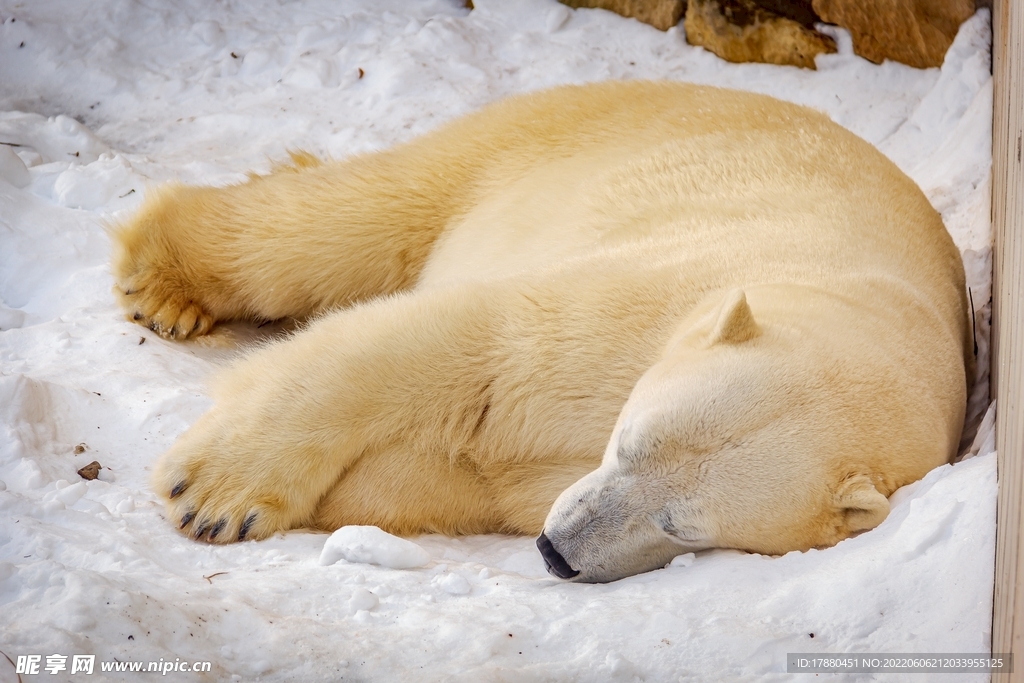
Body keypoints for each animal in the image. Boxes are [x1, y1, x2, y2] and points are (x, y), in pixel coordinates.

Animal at [112, 80, 966, 581]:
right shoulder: (645, 296)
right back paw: (165, 282)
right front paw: (213, 495)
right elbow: (457, 342)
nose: (556, 551)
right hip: (535, 141)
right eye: (630, 441)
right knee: (342, 223)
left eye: (684, 525)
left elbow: (459, 473)